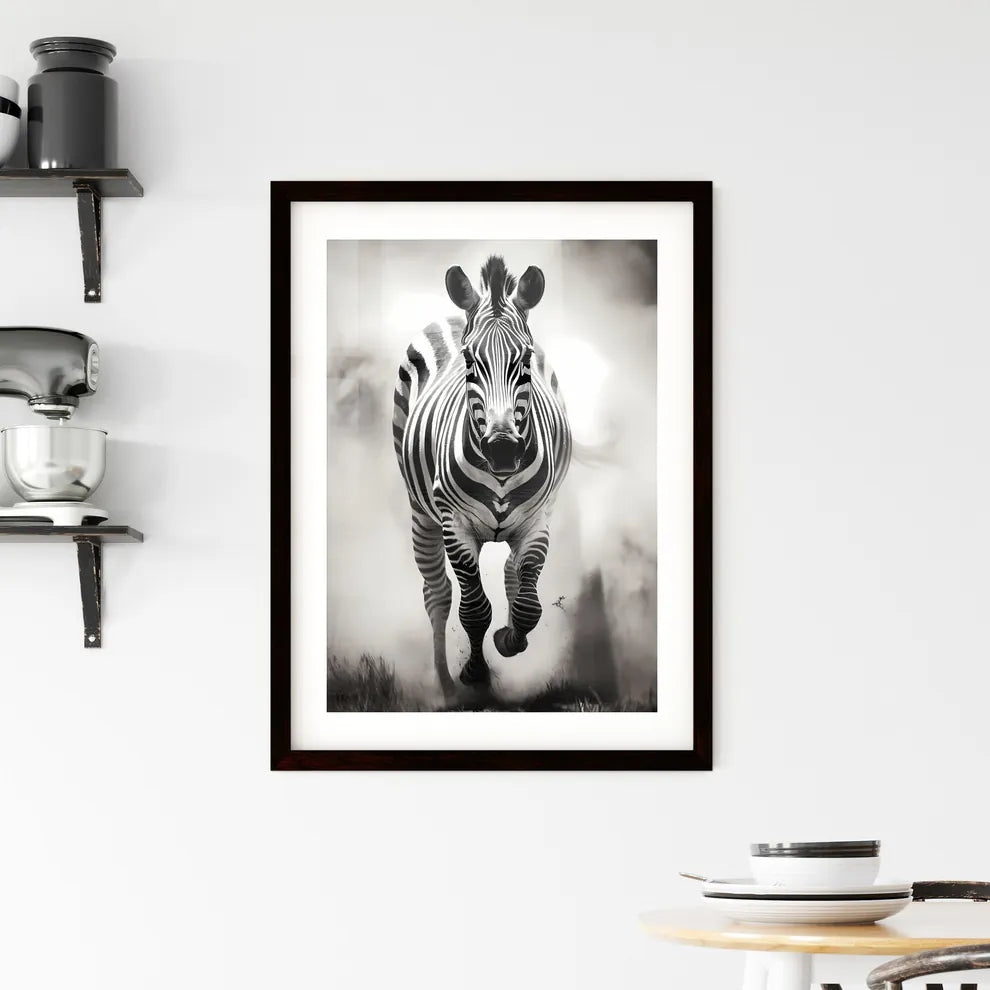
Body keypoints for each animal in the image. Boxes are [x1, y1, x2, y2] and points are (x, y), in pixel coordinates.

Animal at [393, 255, 572, 701]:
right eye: (470, 363)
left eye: (525, 362)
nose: (502, 450)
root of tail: (459, 311)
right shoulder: (454, 525)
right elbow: (474, 610)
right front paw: (475, 673)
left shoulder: (538, 522)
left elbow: (529, 606)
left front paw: (508, 640)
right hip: (421, 512)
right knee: (437, 595)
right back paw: (445, 687)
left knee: (510, 572)